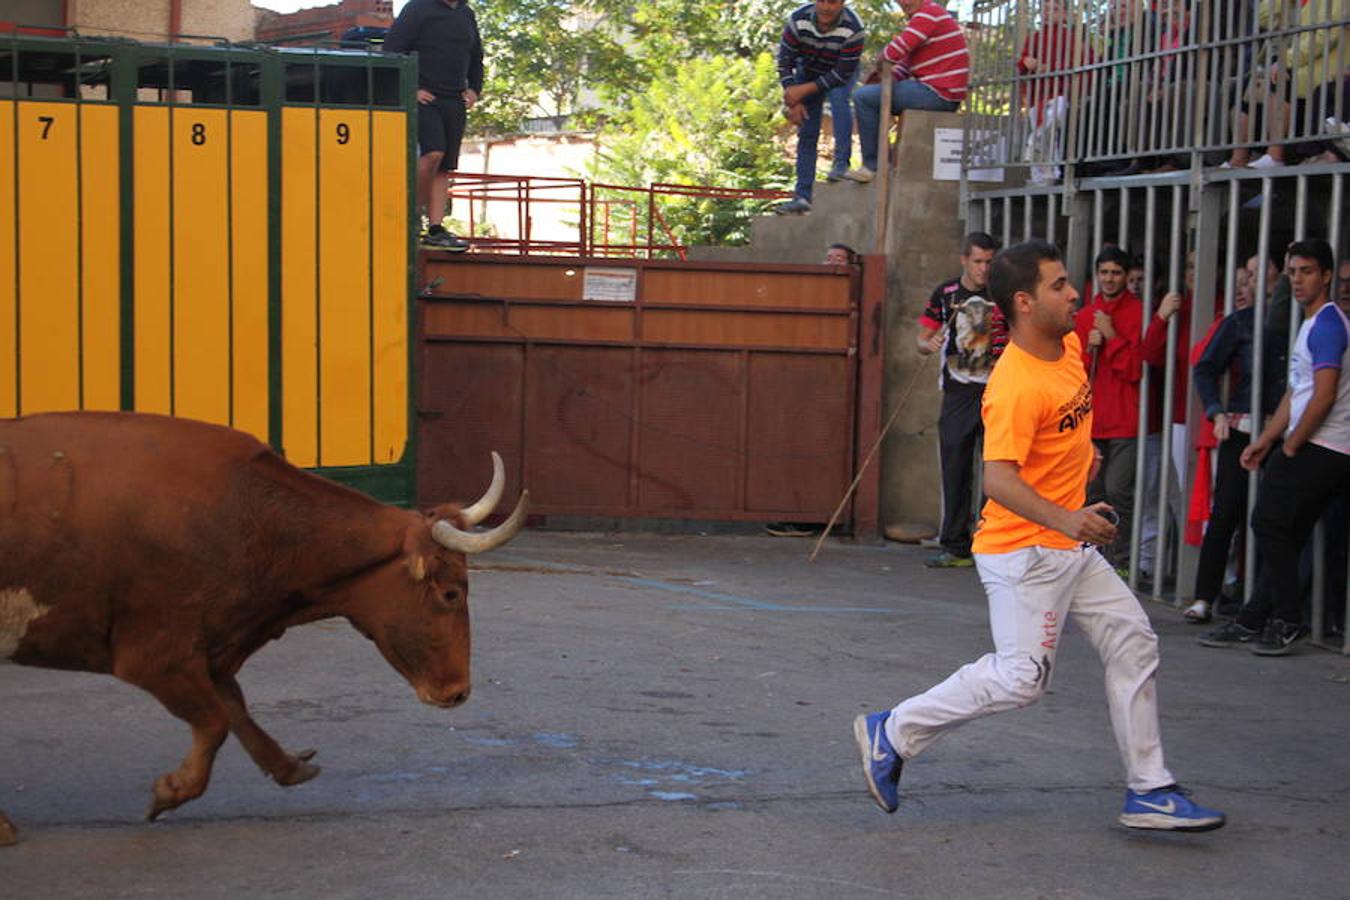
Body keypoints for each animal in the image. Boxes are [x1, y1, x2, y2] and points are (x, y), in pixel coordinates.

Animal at [0, 412, 526, 847]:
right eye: (451, 593)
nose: (458, 691)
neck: (246, 514)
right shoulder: (158, 657)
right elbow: (215, 721)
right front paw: (171, 790)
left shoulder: (210, 652)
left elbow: (235, 709)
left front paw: (288, 765)